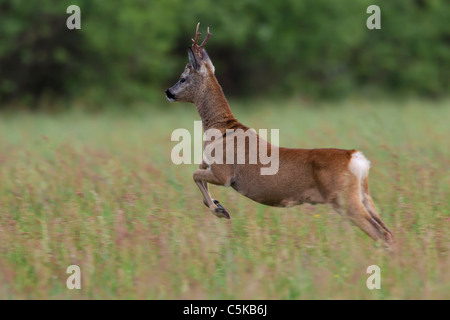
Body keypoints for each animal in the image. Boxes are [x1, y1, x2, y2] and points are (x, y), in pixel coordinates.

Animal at [166, 23, 394, 246]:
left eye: (183, 78)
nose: (168, 92)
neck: (221, 130)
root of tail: (356, 157)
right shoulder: (209, 164)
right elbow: (198, 177)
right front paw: (217, 204)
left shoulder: (224, 174)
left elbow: (195, 175)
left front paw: (220, 210)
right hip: (364, 195)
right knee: (387, 231)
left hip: (344, 198)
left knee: (379, 233)